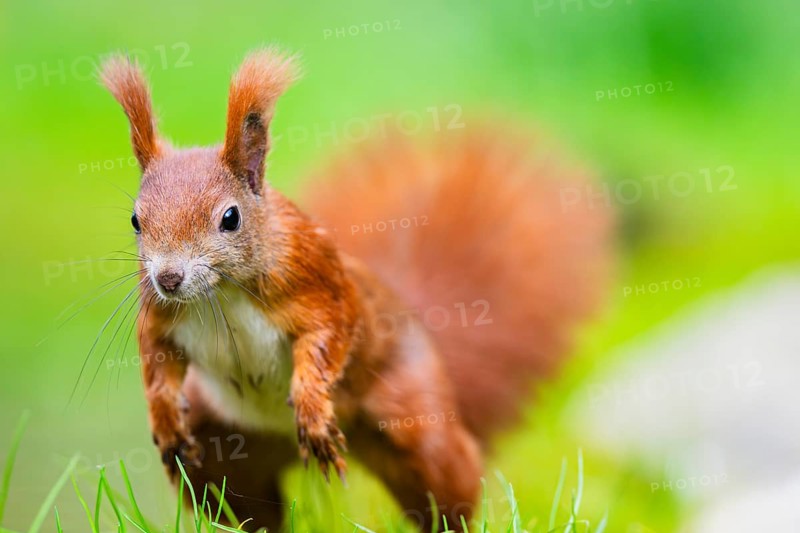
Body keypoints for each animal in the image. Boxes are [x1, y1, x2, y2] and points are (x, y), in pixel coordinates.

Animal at [99, 48, 612, 532]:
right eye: (136, 220)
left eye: (230, 217)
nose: (169, 278)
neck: (220, 293)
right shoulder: (159, 315)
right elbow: (157, 359)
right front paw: (164, 415)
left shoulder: (314, 281)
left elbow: (327, 335)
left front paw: (312, 407)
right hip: (221, 449)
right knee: (248, 507)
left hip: (416, 424)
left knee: (450, 482)